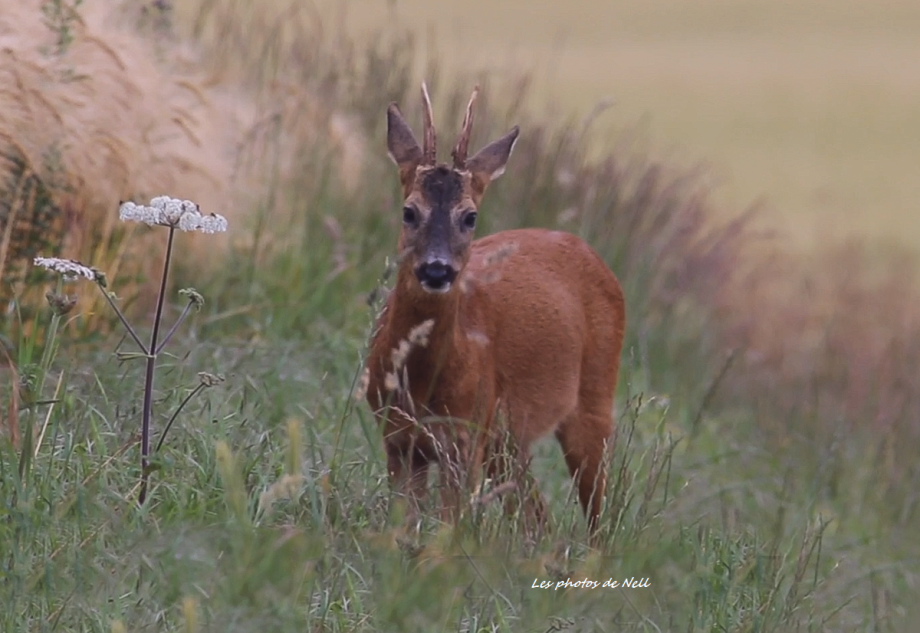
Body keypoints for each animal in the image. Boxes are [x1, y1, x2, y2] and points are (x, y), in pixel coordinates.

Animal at [364, 81, 624, 532]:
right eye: (409, 211)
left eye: (470, 217)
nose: (437, 269)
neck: (422, 381)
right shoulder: (399, 439)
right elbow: (404, 528)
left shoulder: (464, 436)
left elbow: (449, 528)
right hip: (505, 441)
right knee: (538, 515)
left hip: (593, 400)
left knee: (596, 516)